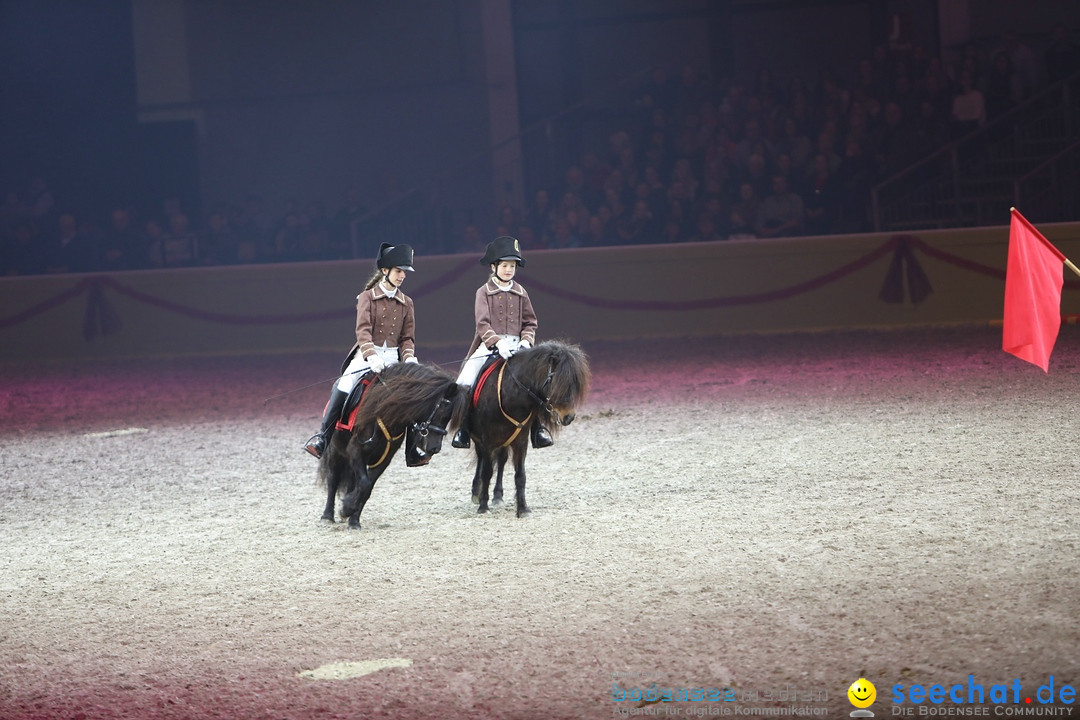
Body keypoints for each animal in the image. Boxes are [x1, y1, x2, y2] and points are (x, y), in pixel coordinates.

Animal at [317, 367, 466, 528]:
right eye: (442, 411)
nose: (435, 448)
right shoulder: (355, 450)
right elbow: (364, 483)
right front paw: (347, 509)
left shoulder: (385, 458)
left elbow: (367, 488)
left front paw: (353, 518)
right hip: (335, 451)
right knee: (332, 479)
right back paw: (327, 516)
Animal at [466, 343, 591, 518]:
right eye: (557, 382)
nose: (569, 417)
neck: (510, 395)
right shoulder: (487, 441)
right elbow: (487, 472)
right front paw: (483, 506)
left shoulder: (520, 441)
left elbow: (520, 475)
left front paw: (523, 509)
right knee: (482, 460)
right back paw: (477, 492)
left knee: (502, 460)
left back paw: (497, 496)